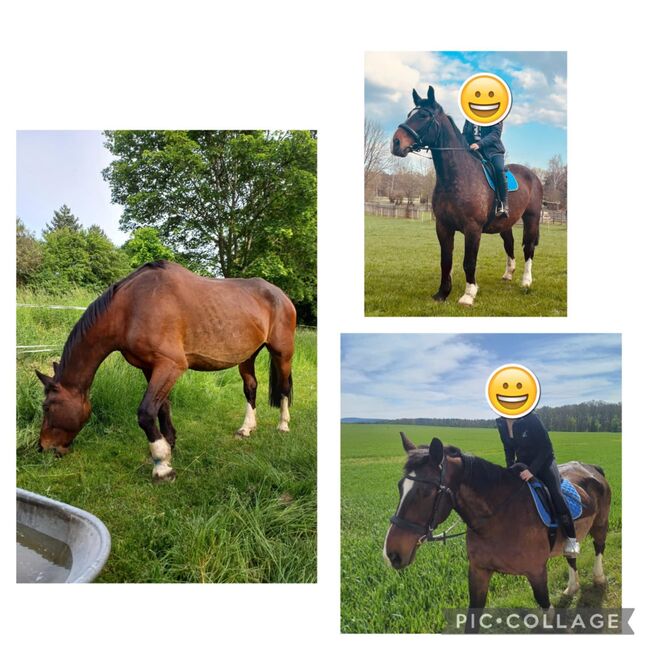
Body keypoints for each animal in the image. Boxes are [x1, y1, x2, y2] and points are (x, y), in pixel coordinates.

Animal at [36, 260, 294, 480]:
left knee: (284, 387)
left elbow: (146, 412)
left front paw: (161, 465)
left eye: (47, 407)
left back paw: (283, 425)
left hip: (282, 352)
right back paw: (246, 428)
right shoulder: (149, 367)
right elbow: (162, 407)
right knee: (250, 387)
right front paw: (169, 445)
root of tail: (281, 295)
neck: (130, 308)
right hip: (248, 355)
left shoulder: (171, 365)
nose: (43, 447)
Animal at [382, 432, 612, 632]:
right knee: (571, 555)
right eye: (400, 486)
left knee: (599, 547)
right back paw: (572, 587)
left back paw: (599, 577)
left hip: (600, 525)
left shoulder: (537, 572)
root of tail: (592, 468)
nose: (391, 553)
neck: (498, 518)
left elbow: (545, 605)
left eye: (426, 492)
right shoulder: (478, 572)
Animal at [390, 86, 540, 306]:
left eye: (423, 116)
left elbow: (469, 262)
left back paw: (526, 282)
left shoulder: (472, 229)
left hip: (531, 219)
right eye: (409, 114)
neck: (456, 176)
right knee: (509, 243)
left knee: (528, 247)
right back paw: (508, 274)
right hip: (506, 223)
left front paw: (468, 295)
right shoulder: (443, 226)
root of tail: (533, 175)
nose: (396, 143)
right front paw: (442, 293)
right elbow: (446, 261)